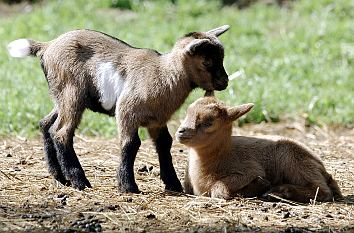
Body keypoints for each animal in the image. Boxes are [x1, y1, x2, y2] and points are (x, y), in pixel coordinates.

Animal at [8, 25, 231, 193]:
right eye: (207, 61)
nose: (225, 82)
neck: (164, 73)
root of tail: (47, 46)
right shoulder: (127, 110)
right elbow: (131, 144)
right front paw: (128, 186)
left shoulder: (157, 120)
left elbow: (164, 144)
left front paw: (173, 184)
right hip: (71, 93)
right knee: (61, 132)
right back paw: (79, 181)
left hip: (61, 96)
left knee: (46, 124)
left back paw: (60, 176)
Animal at [177, 96, 342, 202]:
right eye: (187, 112)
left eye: (209, 121)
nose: (180, 131)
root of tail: (322, 168)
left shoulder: (250, 169)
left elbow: (219, 190)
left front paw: (259, 186)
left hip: (295, 160)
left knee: (322, 190)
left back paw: (278, 192)